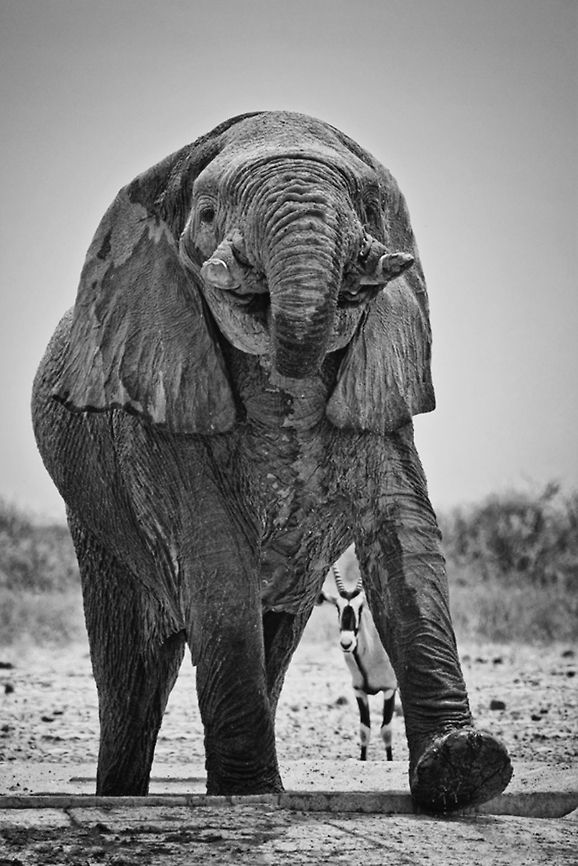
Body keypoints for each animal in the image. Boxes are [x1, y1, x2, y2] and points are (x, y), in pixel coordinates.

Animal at [32, 110, 512, 813]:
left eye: (370, 206)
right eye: (206, 213)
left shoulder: (380, 373)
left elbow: (403, 529)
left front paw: (465, 770)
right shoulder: (161, 387)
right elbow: (214, 546)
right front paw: (249, 796)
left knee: (273, 643)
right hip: (97, 524)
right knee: (131, 678)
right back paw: (121, 798)